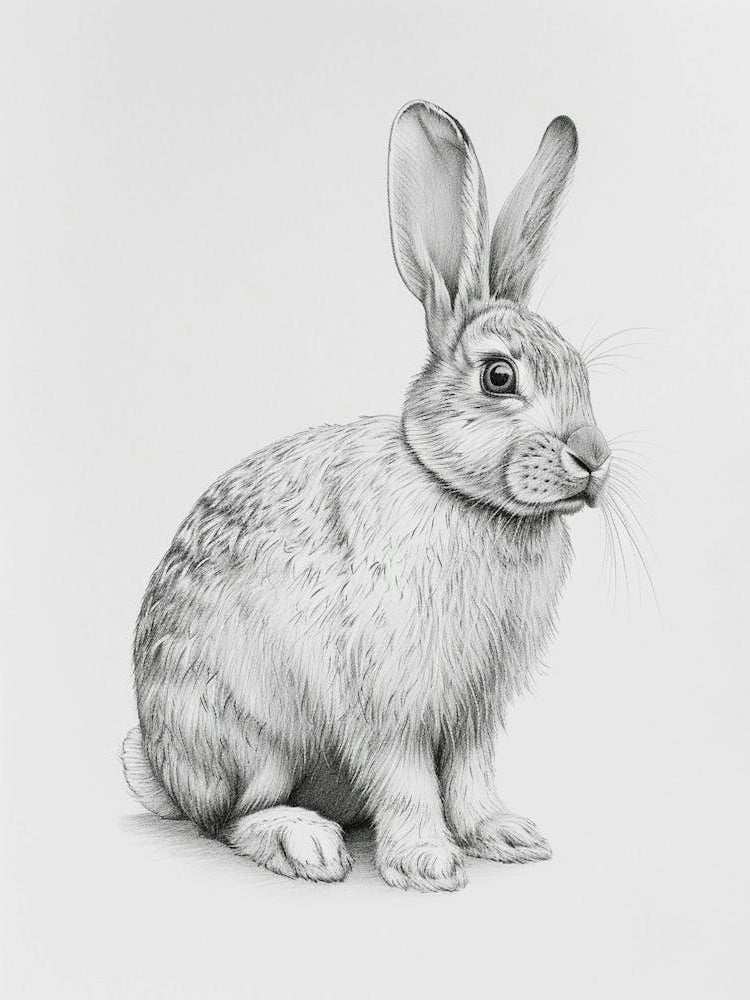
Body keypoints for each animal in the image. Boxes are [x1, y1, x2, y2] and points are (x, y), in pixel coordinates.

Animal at [122, 99, 611, 892]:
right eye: (499, 377)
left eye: (580, 371)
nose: (595, 459)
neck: (462, 495)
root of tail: (164, 773)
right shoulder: (385, 699)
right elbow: (407, 777)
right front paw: (427, 865)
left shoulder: (475, 707)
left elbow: (470, 774)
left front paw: (505, 837)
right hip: (248, 739)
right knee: (225, 819)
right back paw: (305, 844)